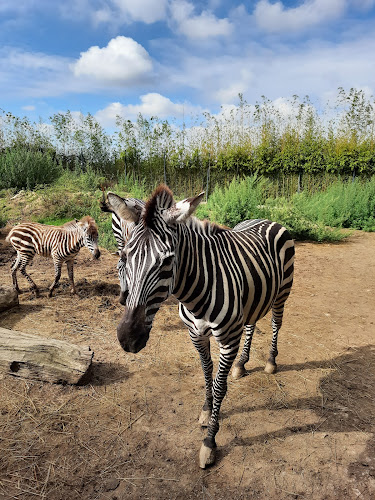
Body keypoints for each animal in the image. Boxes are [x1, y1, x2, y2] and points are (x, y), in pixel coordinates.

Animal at [116, 185, 296, 468]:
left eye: (167, 262)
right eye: (124, 257)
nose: (128, 338)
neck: (196, 293)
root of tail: (268, 219)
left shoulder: (227, 340)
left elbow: (219, 386)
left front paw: (209, 442)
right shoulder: (196, 335)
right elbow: (205, 372)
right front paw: (206, 410)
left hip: (282, 293)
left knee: (277, 324)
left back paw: (270, 362)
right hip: (254, 298)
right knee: (251, 325)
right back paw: (241, 364)